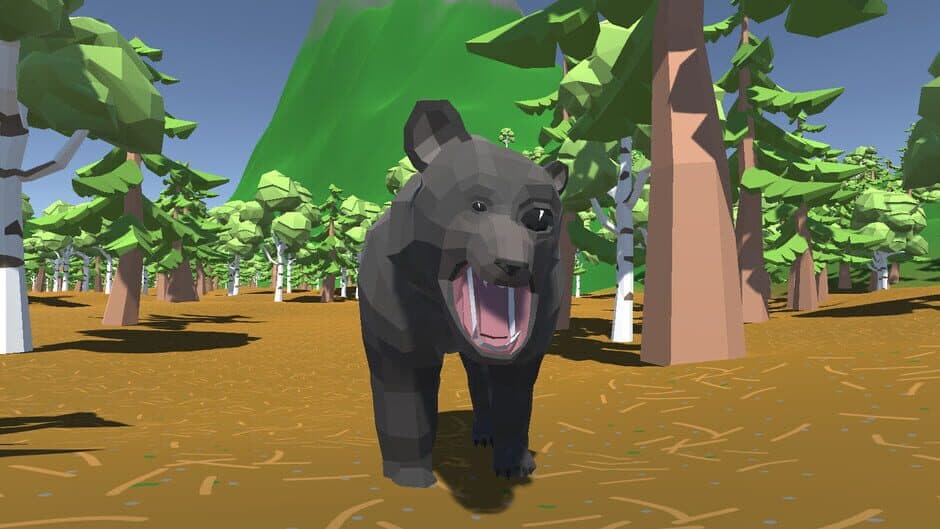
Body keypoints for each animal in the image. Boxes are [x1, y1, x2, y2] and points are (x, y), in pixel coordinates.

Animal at [357, 100, 568, 488]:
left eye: (540, 217)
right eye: (478, 206)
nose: (512, 263)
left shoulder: (534, 333)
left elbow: (515, 401)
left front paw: (516, 466)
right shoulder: (393, 319)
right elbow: (404, 397)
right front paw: (410, 478)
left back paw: (485, 435)